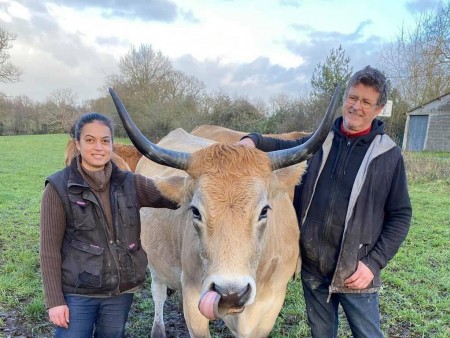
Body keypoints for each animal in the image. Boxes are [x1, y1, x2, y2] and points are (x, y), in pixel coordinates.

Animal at [110, 85, 342, 338]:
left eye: (264, 211)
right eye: (195, 211)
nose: (231, 293)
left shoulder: (271, 305)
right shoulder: (193, 298)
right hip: (154, 260)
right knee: (159, 291)